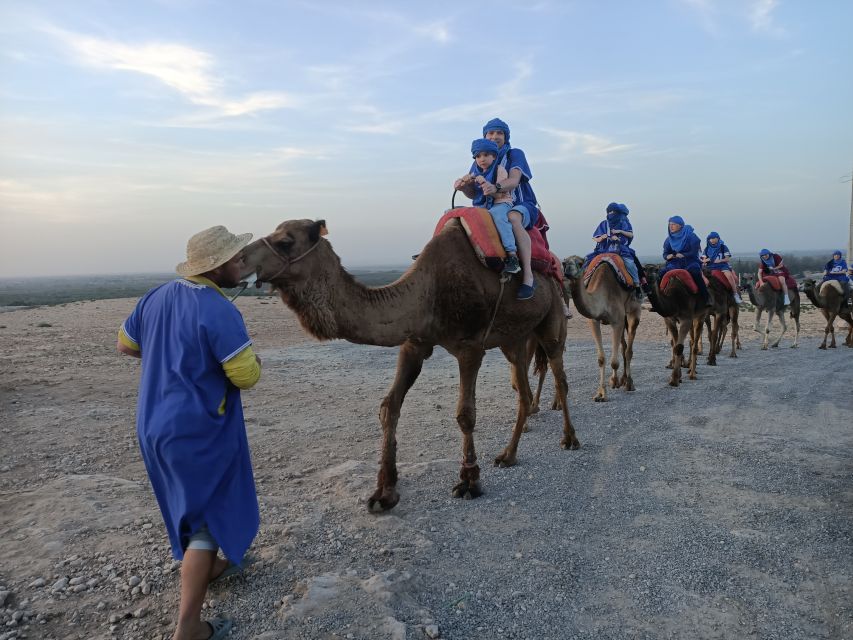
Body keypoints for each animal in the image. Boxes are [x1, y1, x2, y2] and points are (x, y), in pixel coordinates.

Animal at [243, 218, 584, 512]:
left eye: (286, 241)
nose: (240, 260)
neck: (428, 290)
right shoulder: (414, 344)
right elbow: (389, 406)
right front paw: (384, 492)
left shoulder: (470, 347)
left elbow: (465, 415)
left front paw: (469, 482)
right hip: (513, 339)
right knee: (522, 390)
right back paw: (508, 455)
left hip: (552, 320)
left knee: (560, 375)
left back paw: (570, 439)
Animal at [560, 255, 640, 400]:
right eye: (564, 262)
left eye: (580, 263)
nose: (567, 269)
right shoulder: (594, 321)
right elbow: (601, 359)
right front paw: (601, 392)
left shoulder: (617, 321)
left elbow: (614, 361)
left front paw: (614, 383)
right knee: (623, 346)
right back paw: (623, 379)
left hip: (634, 310)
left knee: (629, 348)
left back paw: (629, 383)